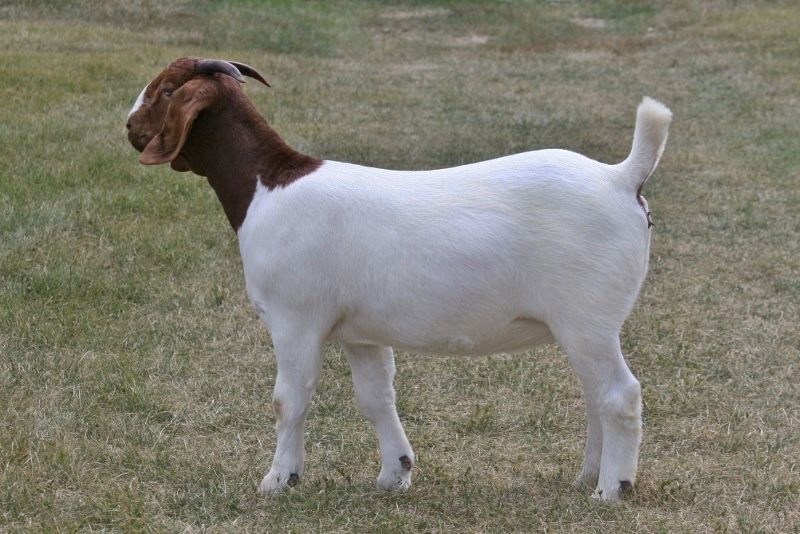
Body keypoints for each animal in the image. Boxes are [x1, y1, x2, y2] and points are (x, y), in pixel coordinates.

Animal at [126, 57, 671, 501]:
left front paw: (279, 480)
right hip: (582, 325)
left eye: (166, 89)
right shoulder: (361, 332)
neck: (269, 184)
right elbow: (375, 398)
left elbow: (290, 400)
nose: (129, 126)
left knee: (619, 395)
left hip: (588, 318)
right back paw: (585, 479)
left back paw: (612, 489)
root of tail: (620, 178)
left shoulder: (294, 319)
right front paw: (395, 474)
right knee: (595, 396)